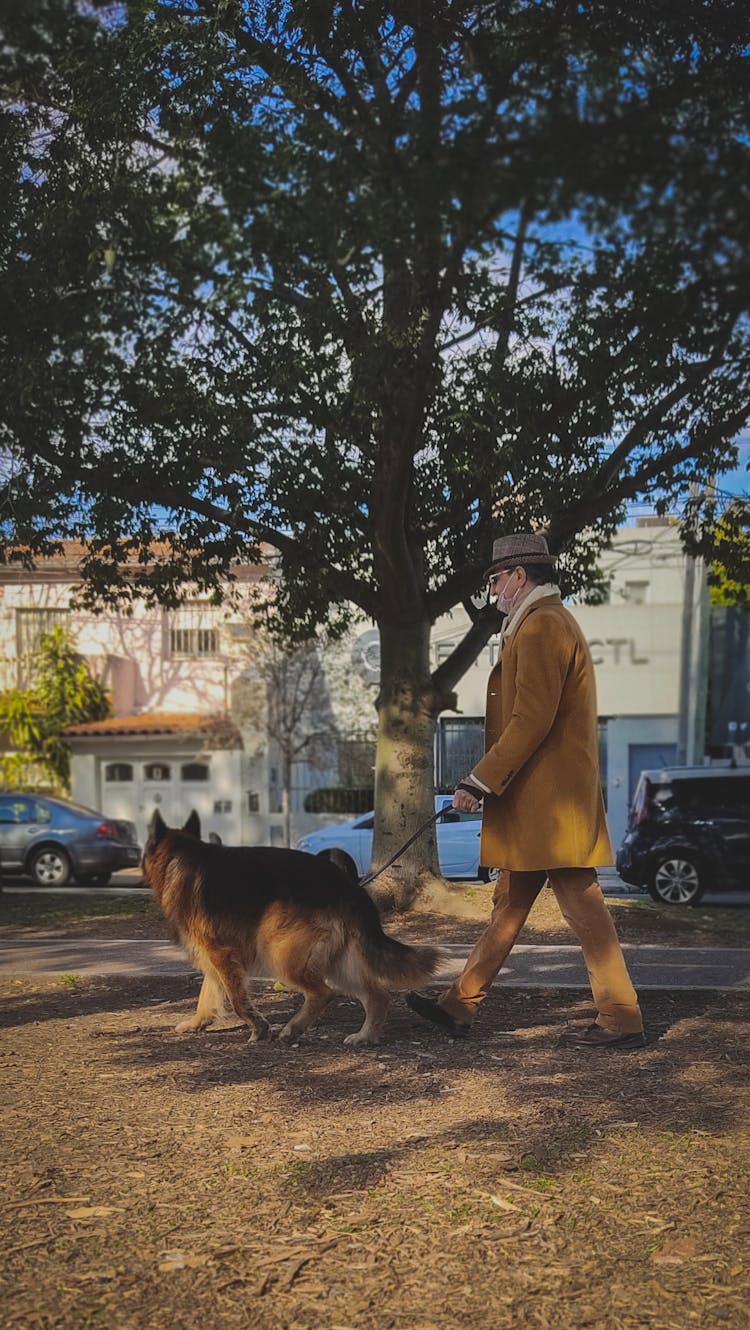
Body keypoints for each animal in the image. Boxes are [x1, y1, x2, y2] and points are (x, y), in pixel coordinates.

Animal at [143, 808, 441, 1048]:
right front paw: (198, 1022)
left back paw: (293, 1030)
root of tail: (347, 884)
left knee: (323, 993)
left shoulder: (221, 953)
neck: (179, 857)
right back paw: (365, 1036)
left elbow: (237, 1000)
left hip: (277, 951)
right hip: (337, 960)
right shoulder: (214, 955)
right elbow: (208, 992)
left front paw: (258, 1027)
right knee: (377, 995)